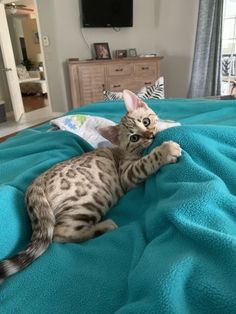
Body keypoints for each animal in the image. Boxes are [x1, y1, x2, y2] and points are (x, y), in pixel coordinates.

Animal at [0, 88, 182, 282]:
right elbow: (146, 162)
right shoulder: (127, 175)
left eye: (146, 121)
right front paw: (165, 150)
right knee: (60, 234)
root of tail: (35, 183)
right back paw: (104, 227)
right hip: (90, 200)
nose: (151, 136)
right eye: (134, 138)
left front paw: (168, 124)